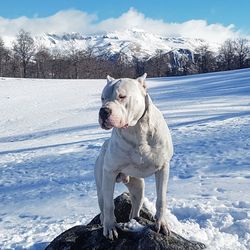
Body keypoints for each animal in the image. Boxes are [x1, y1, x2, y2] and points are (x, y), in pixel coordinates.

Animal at [94, 73, 173, 240]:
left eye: (122, 96)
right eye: (103, 98)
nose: (103, 111)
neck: (136, 130)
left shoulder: (163, 168)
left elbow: (161, 199)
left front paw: (162, 224)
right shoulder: (109, 173)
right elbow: (110, 205)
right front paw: (110, 227)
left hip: (138, 187)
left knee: (135, 206)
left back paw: (135, 220)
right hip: (101, 184)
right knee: (103, 204)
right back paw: (105, 222)